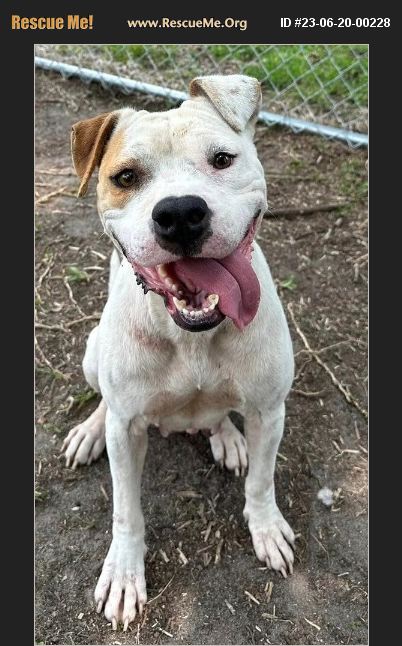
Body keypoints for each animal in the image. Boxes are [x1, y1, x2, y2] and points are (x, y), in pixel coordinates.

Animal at [62, 74, 295, 631]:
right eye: (125, 176)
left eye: (223, 159)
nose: (180, 212)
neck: (193, 334)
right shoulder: (128, 429)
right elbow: (126, 510)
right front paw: (124, 573)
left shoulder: (269, 410)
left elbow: (262, 481)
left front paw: (266, 527)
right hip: (93, 353)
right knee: (102, 400)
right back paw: (89, 431)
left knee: (219, 415)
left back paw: (226, 436)